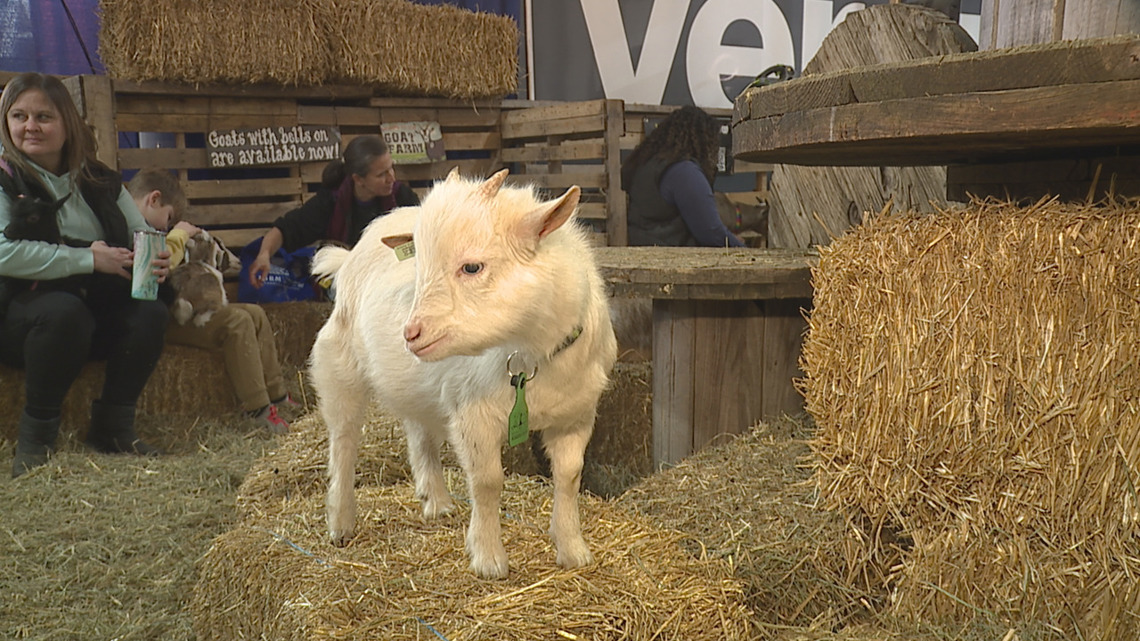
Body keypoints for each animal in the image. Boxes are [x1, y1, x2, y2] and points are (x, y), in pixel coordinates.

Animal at [310, 168, 617, 578]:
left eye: (472, 267)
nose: (411, 333)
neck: (531, 356)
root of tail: (348, 257)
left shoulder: (576, 415)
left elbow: (568, 476)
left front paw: (572, 548)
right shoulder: (474, 417)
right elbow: (487, 482)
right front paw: (488, 558)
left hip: (418, 387)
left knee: (419, 433)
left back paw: (436, 500)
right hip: (340, 368)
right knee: (343, 441)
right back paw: (340, 522)